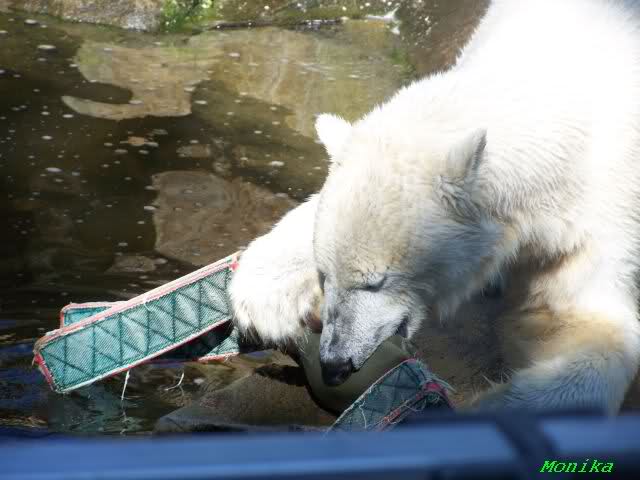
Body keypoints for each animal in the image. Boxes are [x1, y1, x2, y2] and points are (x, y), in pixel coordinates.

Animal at [229, 0, 640, 413]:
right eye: (324, 274)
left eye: (376, 281)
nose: (335, 363)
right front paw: (266, 293)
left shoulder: (599, 214)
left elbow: (583, 320)